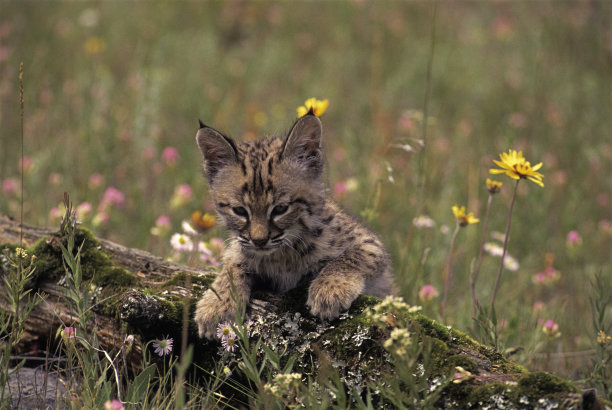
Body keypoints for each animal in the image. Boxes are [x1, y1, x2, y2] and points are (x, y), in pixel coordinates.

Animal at [195, 110, 392, 338]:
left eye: (281, 209)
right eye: (240, 211)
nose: (259, 241)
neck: (282, 254)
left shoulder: (370, 243)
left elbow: (350, 258)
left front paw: (329, 289)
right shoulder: (241, 244)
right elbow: (232, 264)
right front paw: (216, 305)